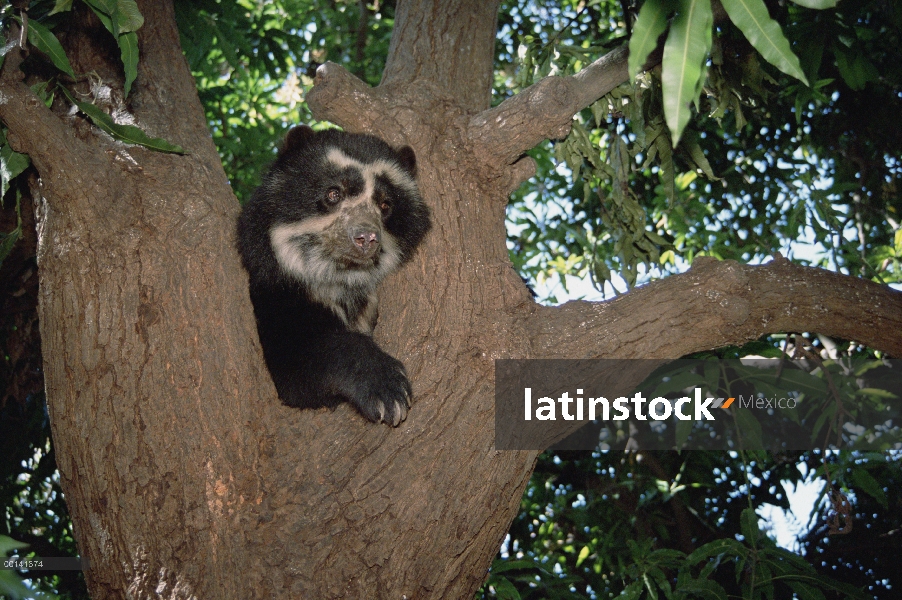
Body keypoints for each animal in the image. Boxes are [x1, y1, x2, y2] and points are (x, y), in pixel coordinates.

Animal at [237, 125, 434, 426]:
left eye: (385, 204)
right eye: (333, 194)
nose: (366, 237)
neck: (340, 278)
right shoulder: (272, 287)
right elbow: (291, 359)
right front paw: (388, 392)